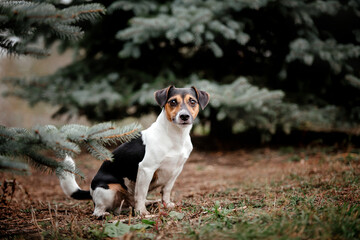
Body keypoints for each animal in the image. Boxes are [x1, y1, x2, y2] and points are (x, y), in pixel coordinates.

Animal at [57, 86, 210, 218]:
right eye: (173, 102)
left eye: (192, 101)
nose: (184, 116)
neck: (175, 136)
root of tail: (90, 190)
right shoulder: (146, 169)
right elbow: (141, 193)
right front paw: (142, 212)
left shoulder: (176, 170)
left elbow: (166, 191)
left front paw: (166, 204)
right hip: (108, 190)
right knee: (100, 209)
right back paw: (104, 214)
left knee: (130, 203)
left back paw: (151, 202)